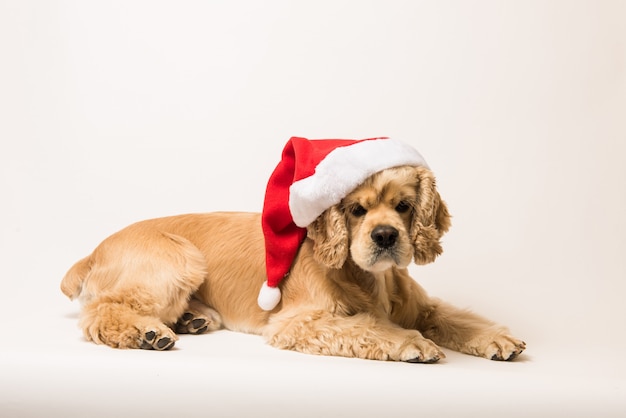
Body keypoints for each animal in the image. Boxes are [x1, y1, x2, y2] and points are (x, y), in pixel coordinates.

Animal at [61, 165, 524, 360]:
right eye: (357, 210)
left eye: (404, 206)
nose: (385, 236)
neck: (370, 278)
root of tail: (96, 249)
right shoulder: (299, 321)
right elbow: (368, 327)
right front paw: (411, 342)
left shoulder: (421, 306)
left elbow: (454, 318)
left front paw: (496, 338)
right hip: (178, 258)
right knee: (101, 311)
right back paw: (149, 333)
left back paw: (193, 319)